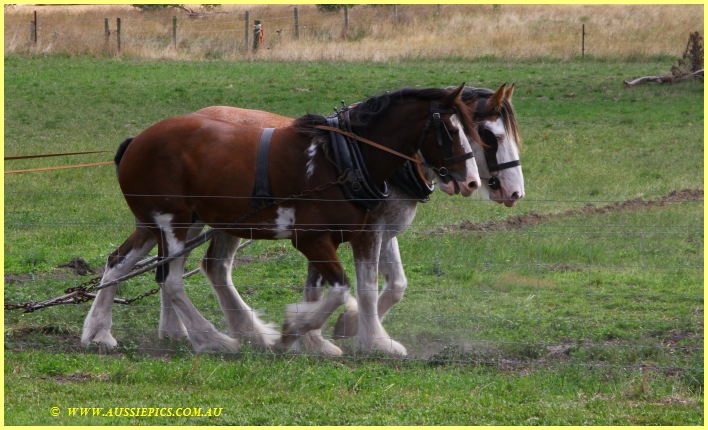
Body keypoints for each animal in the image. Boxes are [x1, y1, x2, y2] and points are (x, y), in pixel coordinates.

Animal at [84, 84, 482, 352]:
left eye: (475, 131)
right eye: (450, 130)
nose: (472, 181)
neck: (344, 158)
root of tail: (135, 141)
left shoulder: (347, 235)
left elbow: (348, 288)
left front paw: (317, 337)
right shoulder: (312, 238)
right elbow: (342, 289)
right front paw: (296, 328)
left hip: (163, 223)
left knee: (120, 262)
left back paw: (99, 332)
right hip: (174, 222)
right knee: (170, 280)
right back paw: (214, 340)